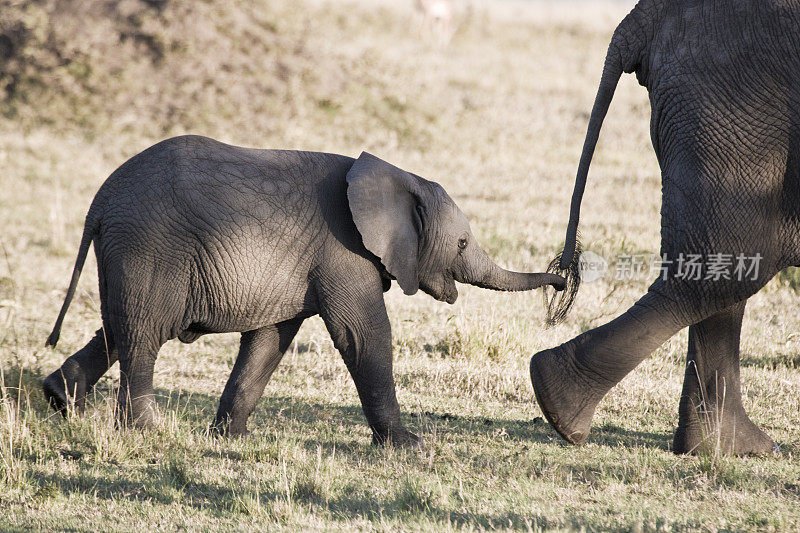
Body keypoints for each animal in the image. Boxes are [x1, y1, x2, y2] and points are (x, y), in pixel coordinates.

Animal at [43, 135, 564, 446]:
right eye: (461, 244)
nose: (562, 279)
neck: (397, 177)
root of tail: (99, 203)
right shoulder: (344, 252)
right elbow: (363, 335)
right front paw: (409, 447)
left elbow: (269, 341)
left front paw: (231, 440)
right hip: (150, 247)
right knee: (144, 334)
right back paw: (147, 432)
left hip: (129, 252)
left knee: (118, 327)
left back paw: (61, 400)